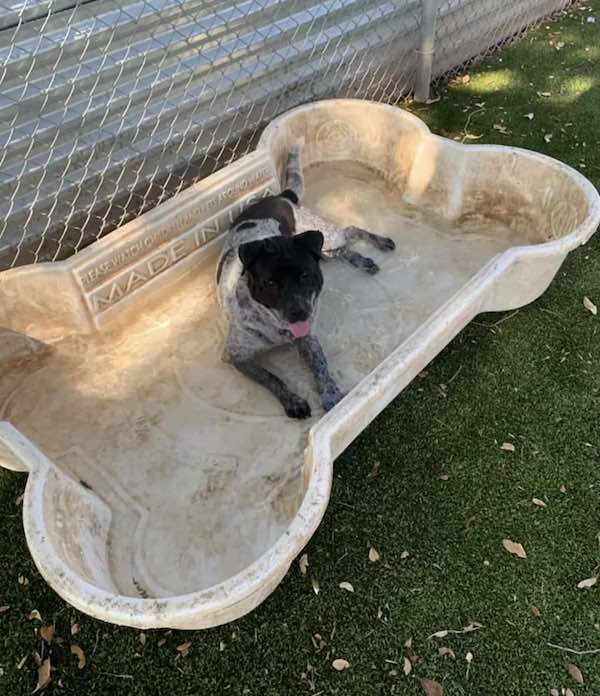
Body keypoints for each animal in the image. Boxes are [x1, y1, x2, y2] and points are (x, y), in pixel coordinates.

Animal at [218, 145, 396, 418]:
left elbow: (320, 365)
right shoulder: (237, 355)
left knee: (351, 230)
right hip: (323, 248)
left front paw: (331, 394)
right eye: (270, 284)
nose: (300, 313)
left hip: (324, 236)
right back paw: (362, 260)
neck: (277, 328)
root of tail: (281, 196)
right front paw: (292, 400)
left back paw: (378, 244)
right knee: (341, 248)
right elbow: (271, 378)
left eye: (305, 276)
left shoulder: (308, 338)